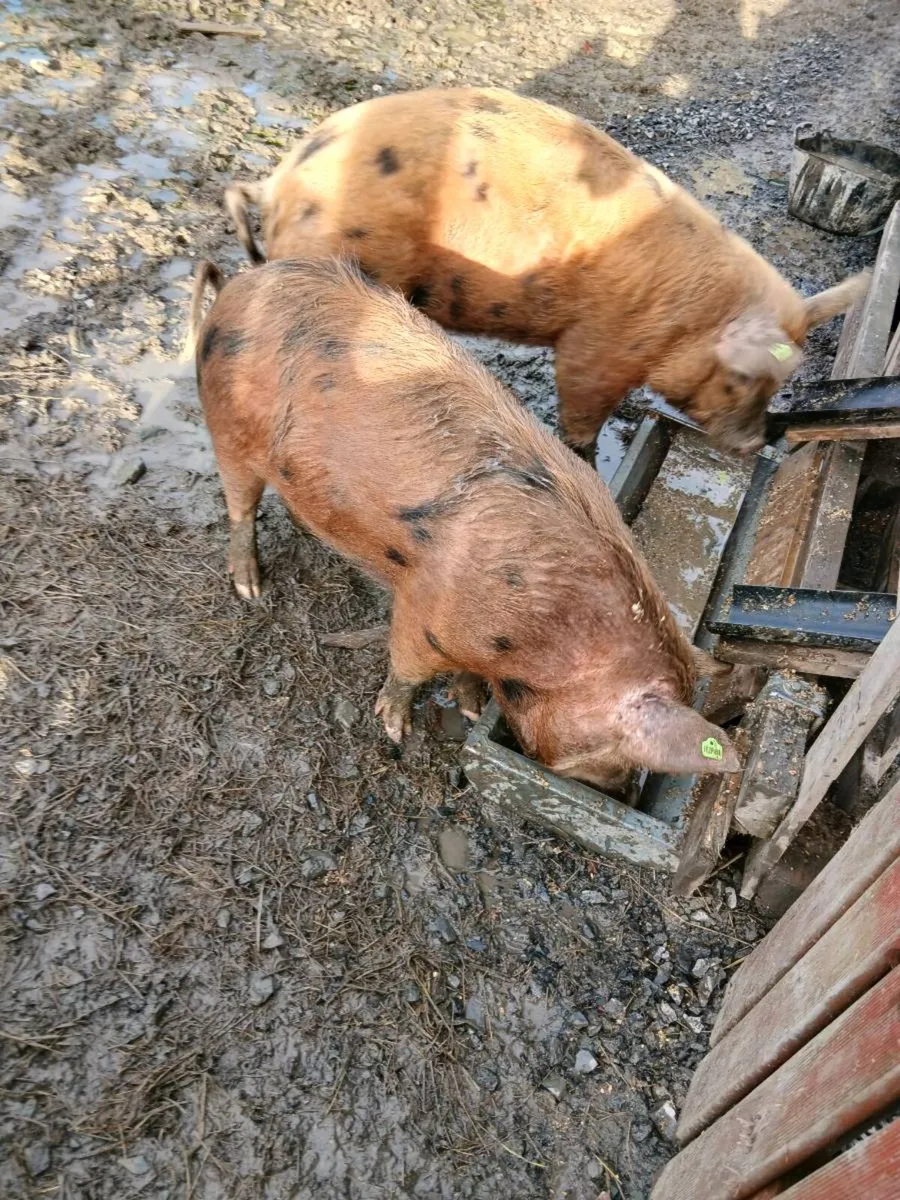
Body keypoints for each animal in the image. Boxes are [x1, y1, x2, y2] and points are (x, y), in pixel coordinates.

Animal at [189, 254, 739, 789]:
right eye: (615, 750)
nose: (617, 790)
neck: (548, 635)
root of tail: (238, 287)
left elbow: (467, 677)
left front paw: (472, 708)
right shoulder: (423, 608)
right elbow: (406, 666)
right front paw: (395, 727)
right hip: (226, 427)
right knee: (239, 508)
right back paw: (250, 588)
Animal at [225, 87, 867, 460]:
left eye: (779, 384)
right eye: (742, 379)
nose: (759, 442)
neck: (693, 317)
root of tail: (277, 183)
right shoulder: (596, 346)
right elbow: (581, 406)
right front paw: (585, 456)